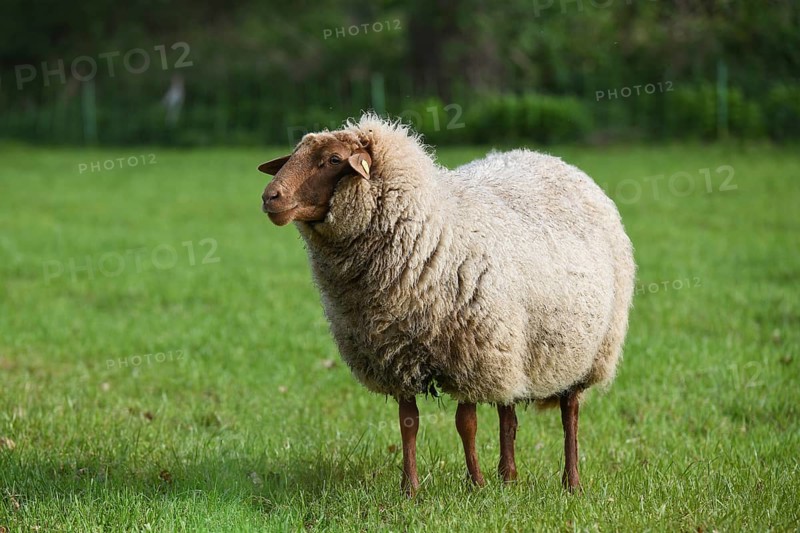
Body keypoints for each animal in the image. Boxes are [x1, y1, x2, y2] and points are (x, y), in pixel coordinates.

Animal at [259, 113, 635, 495]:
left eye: (334, 159)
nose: (270, 197)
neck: (432, 231)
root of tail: (551, 159)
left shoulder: (469, 352)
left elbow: (465, 422)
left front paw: (476, 484)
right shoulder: (397, 356)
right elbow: (408, 423)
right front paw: (410, 489)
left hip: (585, 350)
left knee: (569, 412)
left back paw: (571, 482)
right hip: (514, 349)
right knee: (508, 412)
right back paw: (508, 477)